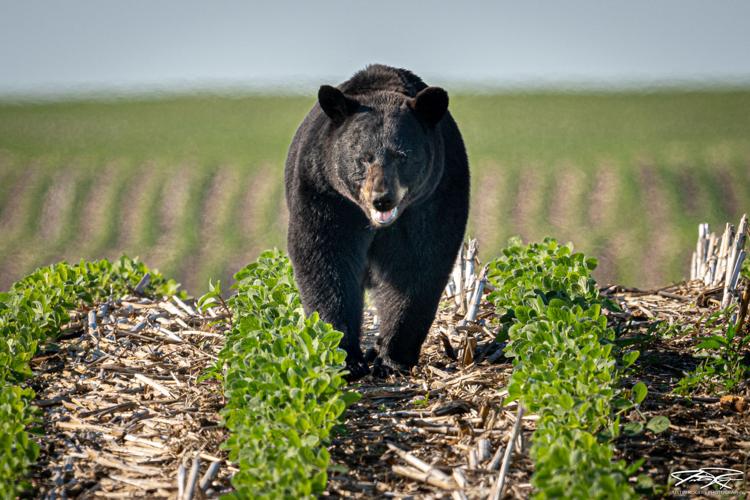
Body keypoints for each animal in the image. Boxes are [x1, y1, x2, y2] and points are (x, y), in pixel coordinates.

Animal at [284, 64, 470, 380]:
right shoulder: (327, 197)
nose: (382, 199)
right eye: (363, 158)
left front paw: (392, 358)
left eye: (403, 156)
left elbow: (417, 268)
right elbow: (325, 261)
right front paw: (345, 357)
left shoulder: (433, 201)